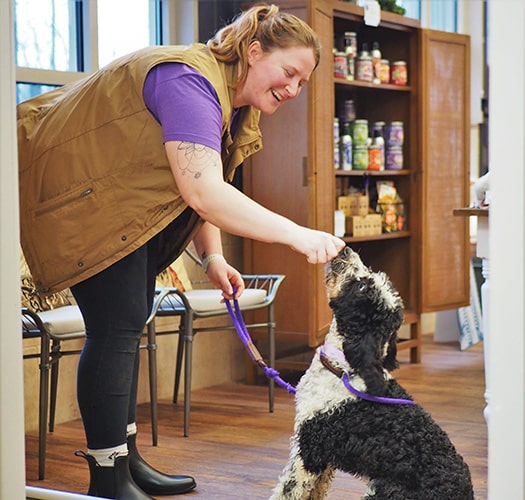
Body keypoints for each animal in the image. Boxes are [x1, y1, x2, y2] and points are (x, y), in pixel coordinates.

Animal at [272, 247, 472, 500]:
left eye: (361, 287)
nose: (345, 249)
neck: (343, 370)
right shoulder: (325, 458)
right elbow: (314, 493)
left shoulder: (310, 450)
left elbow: (287, 491)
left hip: (386, 490)